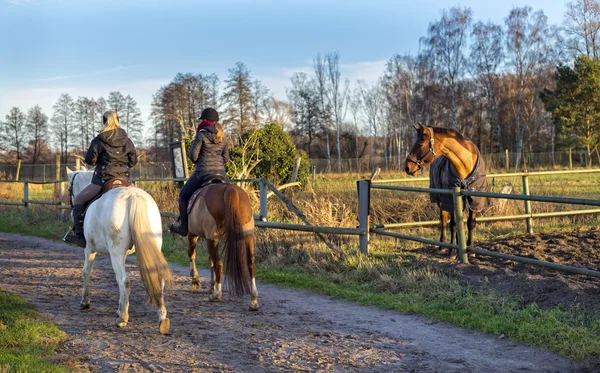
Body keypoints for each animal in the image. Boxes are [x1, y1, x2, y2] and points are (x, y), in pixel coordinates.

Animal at [67, 167, 172, 332]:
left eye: (69, 189)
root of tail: (132, 197)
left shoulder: (90, 248)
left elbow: (86, 272)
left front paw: (85, 302)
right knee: (157, 278)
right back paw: (162, 319)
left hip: (115, 253)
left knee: (124, 280)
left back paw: (122, 318)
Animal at [184, 182, 256, 310]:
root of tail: (230, 190)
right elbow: (210, 260)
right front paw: (210, 286)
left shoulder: (193, 233)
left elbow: (192, 253)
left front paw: (195, 280)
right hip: (248, 235)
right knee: (250, 262)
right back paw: (253, 301)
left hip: (211, 238)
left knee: (218, 263)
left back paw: (216, 295)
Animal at [406, 123, 490, 258]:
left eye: (420, 142)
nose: (407, 167)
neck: (465, 165)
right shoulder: (450, 199)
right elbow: (453, 224)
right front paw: (453, 251)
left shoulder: (475, 200)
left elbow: (470, 223)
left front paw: (470, 249)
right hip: (440, 200)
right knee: (444, 220)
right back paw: (443, 245)